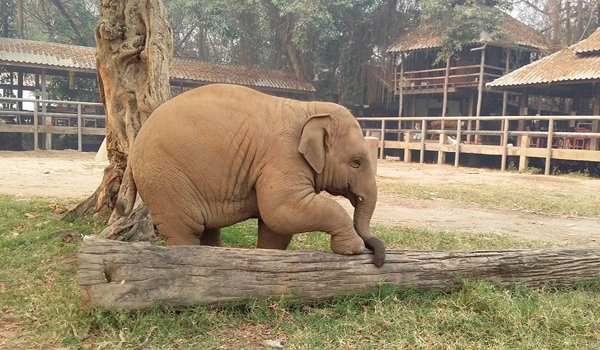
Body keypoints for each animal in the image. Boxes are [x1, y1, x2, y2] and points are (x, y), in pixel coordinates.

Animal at [118, 83, 384, 266]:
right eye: (357, 162)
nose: (378, 259)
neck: (310, 109)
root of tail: (133, 150)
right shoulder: (282, 157)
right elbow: (280, 210)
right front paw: (353, 250)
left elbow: (276, 225)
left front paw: (269, 257)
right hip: (164, 179)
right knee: (186, 230)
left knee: (206, 230)